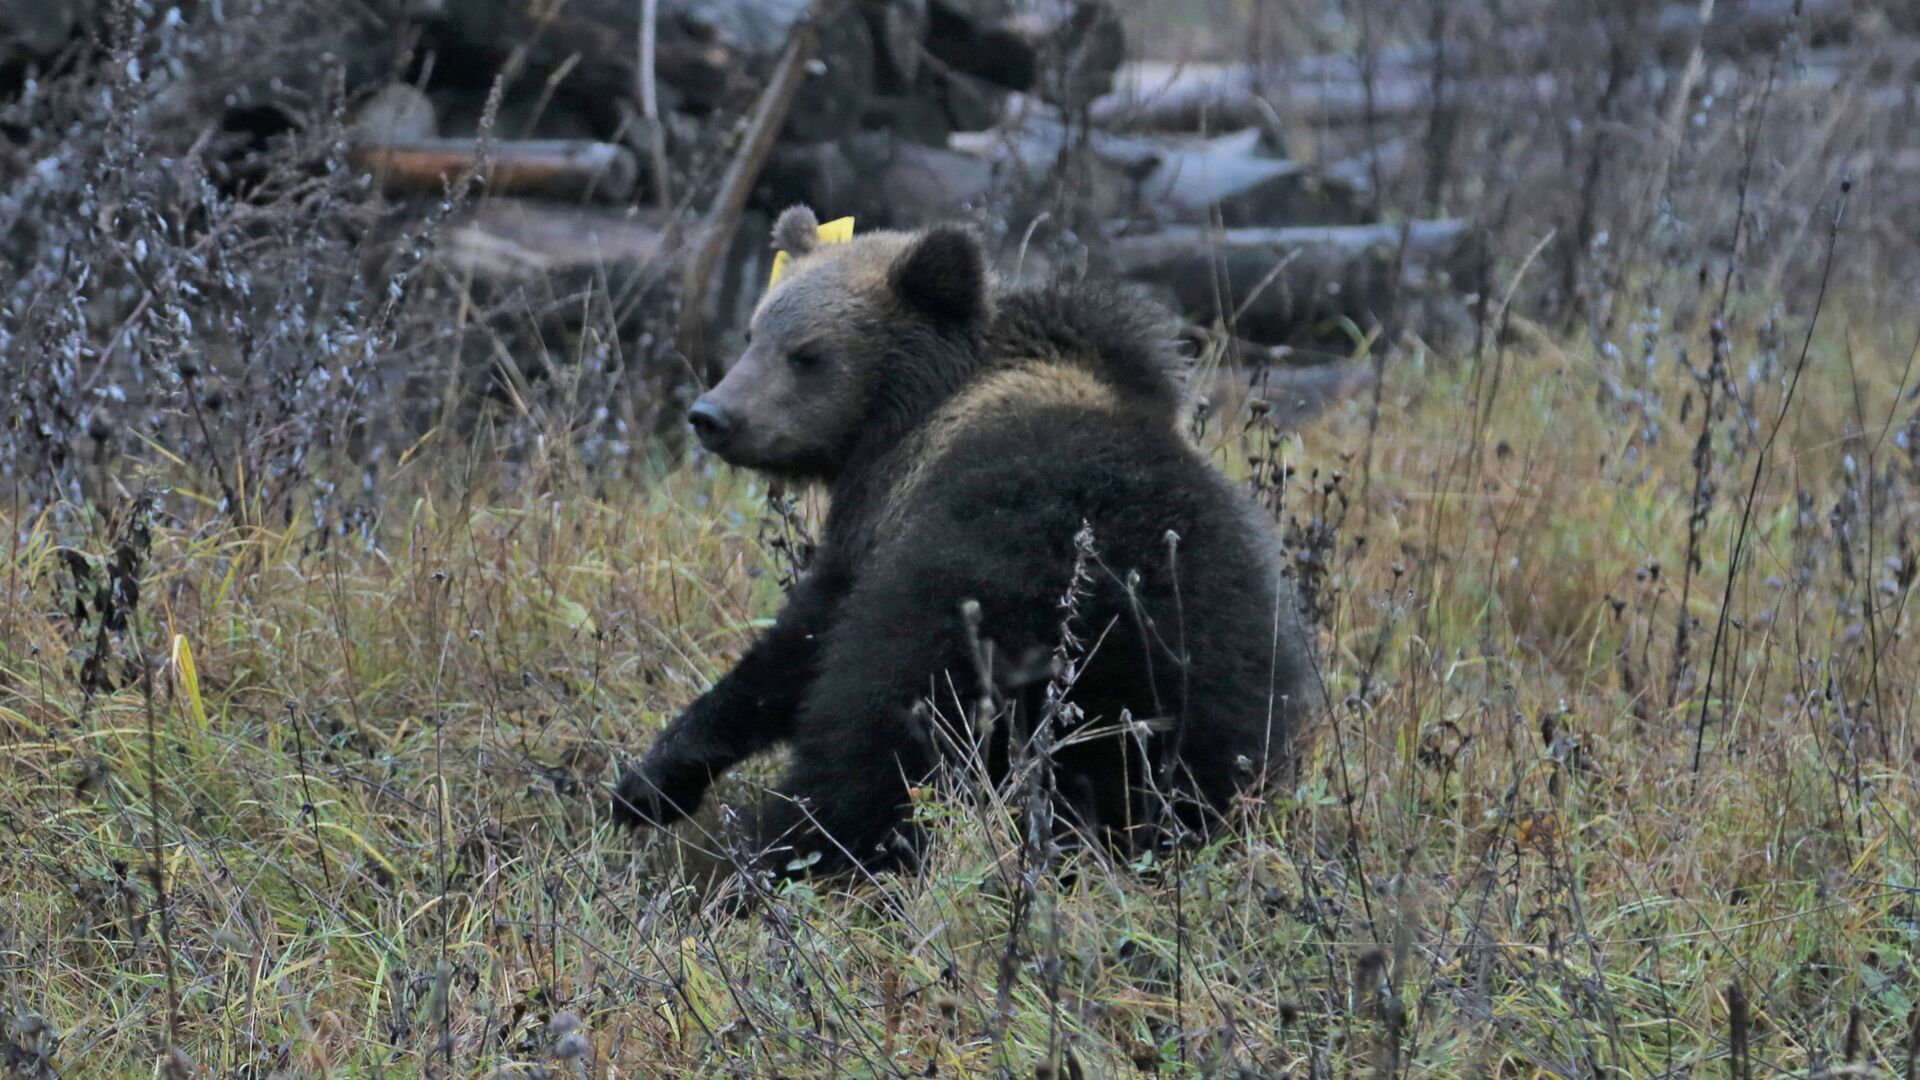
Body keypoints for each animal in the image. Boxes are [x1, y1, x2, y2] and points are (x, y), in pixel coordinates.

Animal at [614, 203, 1320, 876]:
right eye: (753, 333)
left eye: (807, 354)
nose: (711, 416)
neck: (911, 407)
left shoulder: (883, 521)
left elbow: (798, 643)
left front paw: (652, 781)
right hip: (1222, 669)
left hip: (954, 632)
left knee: (863, 758)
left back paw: (770, 860)